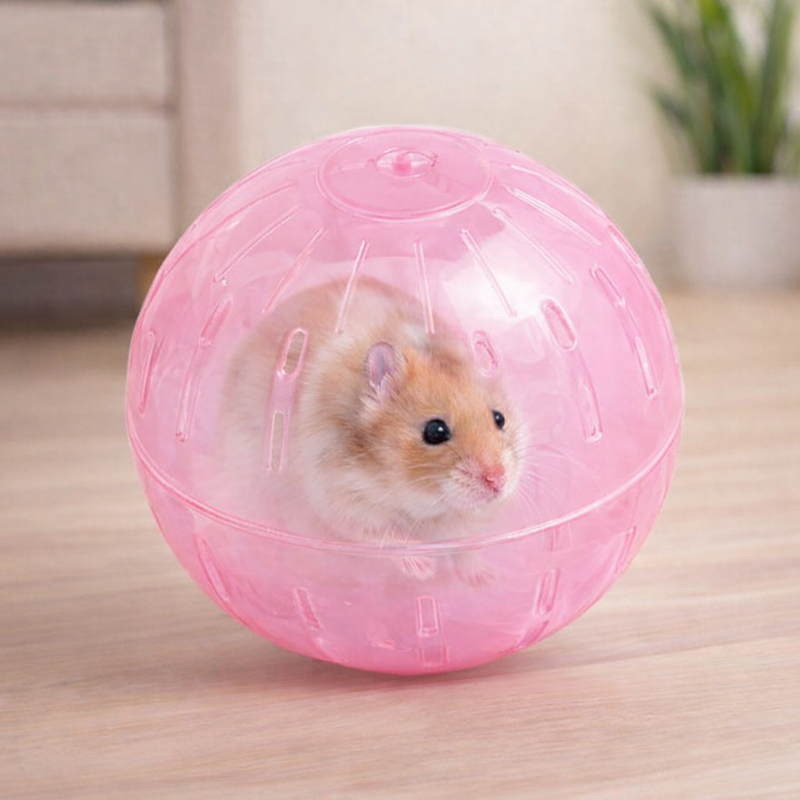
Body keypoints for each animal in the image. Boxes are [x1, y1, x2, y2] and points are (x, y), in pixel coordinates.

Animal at [219, 278, 524, 584]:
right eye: (435, 431)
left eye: (499, 418)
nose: (498, 480)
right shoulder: (342, 502)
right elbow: (384, 537)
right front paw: (425, 569)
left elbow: (466, 544)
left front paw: (485, 578)